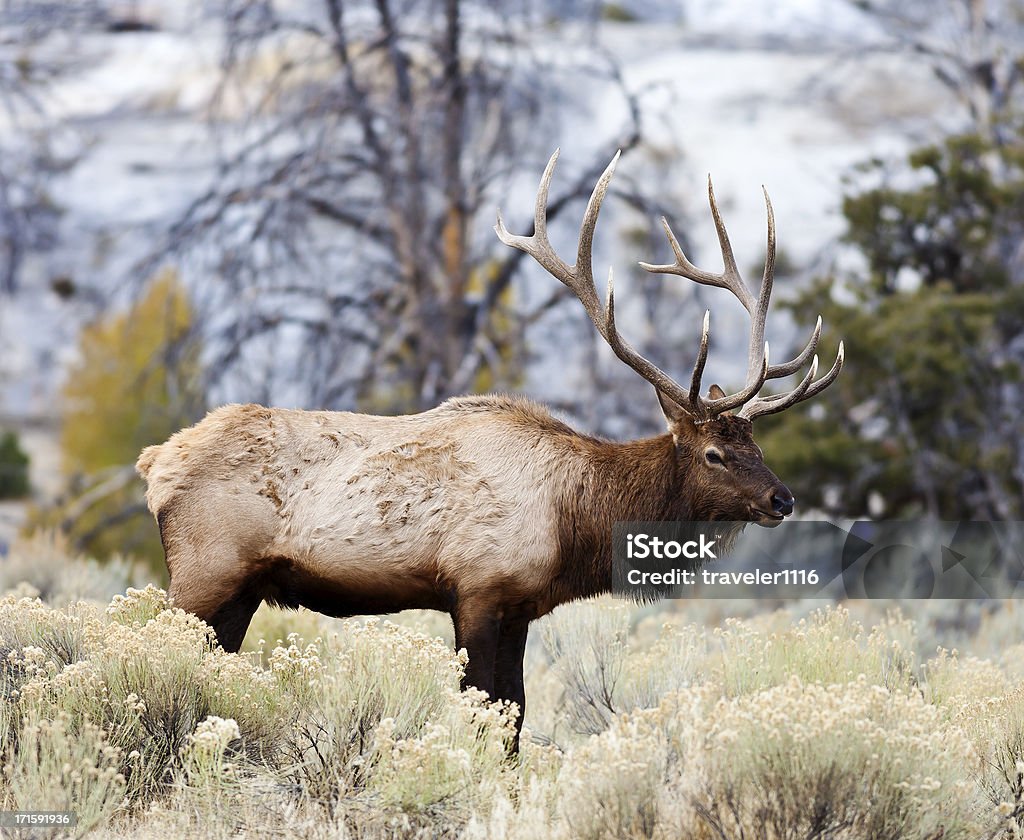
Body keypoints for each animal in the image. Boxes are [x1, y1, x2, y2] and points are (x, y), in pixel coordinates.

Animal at [136, 149, 839, 749]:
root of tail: (155, 464)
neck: (573, 522)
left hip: (241, 588)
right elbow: (481, 708)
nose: (782, 498)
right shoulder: (476, 587)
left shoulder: (522, 606)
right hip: (203, 571)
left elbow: (515, 713)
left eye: (755, 442)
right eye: (715, 454)